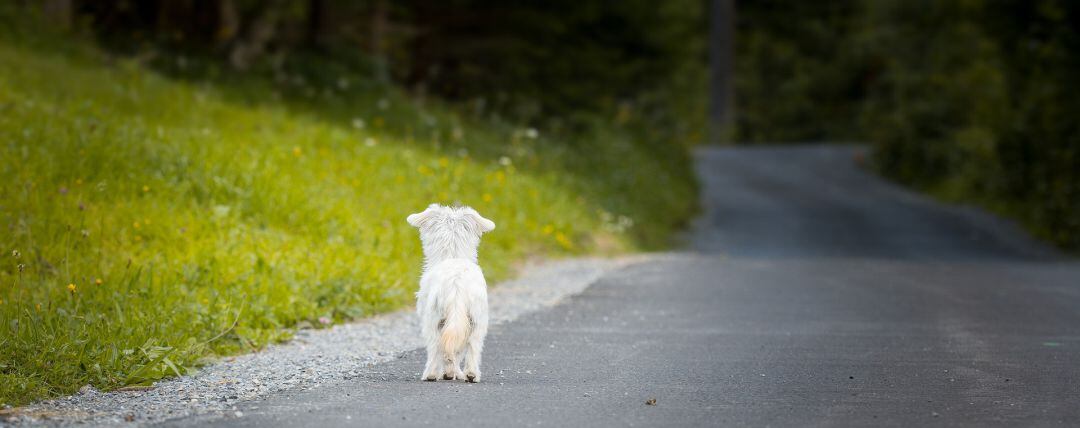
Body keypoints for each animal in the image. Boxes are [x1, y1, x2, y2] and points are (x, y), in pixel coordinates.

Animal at [406, 202, 494, 382]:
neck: (452, 255)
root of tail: (456, 284)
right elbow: (457, 350)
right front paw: (454, 372)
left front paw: (448, 372)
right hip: (477, 320)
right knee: (472, 347)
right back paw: (471, 374)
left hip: (432, 320)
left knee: (435, 347)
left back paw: (431, 374)